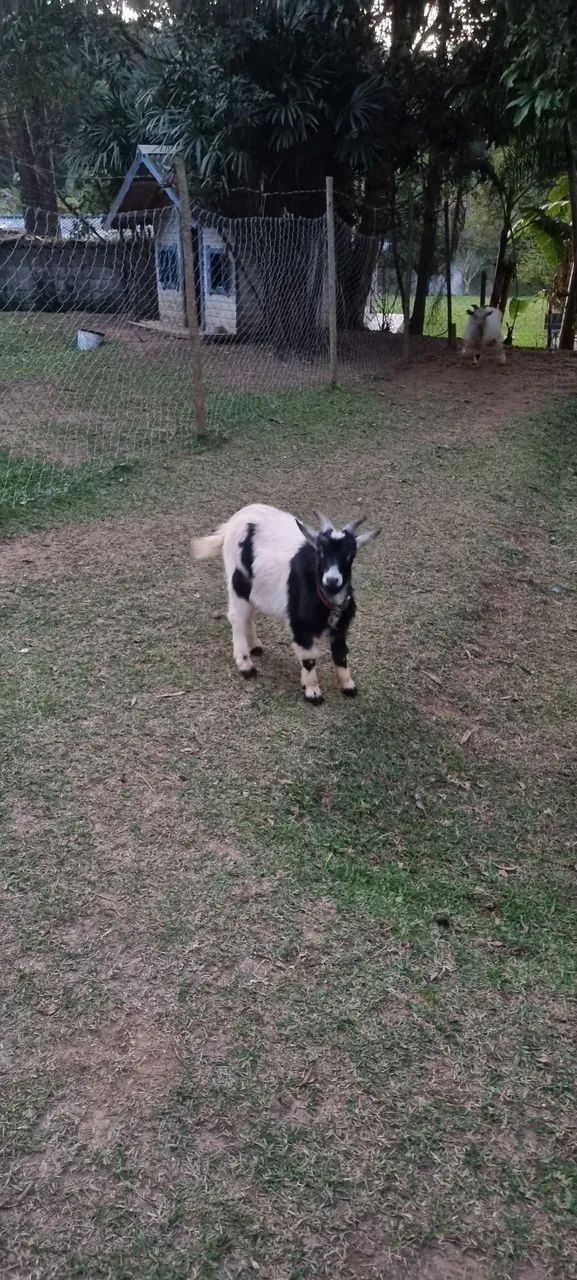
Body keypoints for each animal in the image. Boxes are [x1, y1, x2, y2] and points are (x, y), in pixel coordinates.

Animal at [193, 503, 379, 705]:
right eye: (320, 552)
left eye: (351, 555)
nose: (331, 580)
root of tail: (231, 524)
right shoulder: (300, 625)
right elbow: (309, 658)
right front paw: (312, 692)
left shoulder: (341, 627)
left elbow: (340, 653)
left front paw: (348, 686)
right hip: (237, 580)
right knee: (237, 617)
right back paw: (245, 665)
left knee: (248, 613)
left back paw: (255, 646)